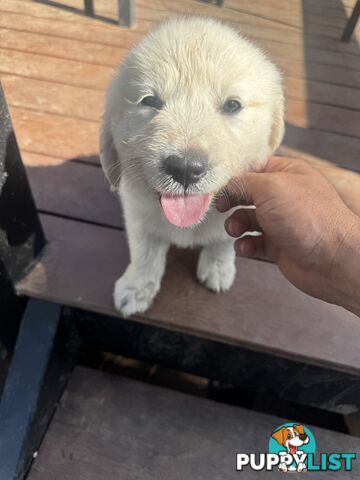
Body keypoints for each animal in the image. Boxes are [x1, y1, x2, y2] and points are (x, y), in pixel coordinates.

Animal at [99, 15, 284, 316]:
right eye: (150, 101)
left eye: (232, 105)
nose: (185, 168)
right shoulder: (137, 213)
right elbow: (144, 253)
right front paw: (136, 287)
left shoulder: (236, 212)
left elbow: (224, 240)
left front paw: (218, 269)